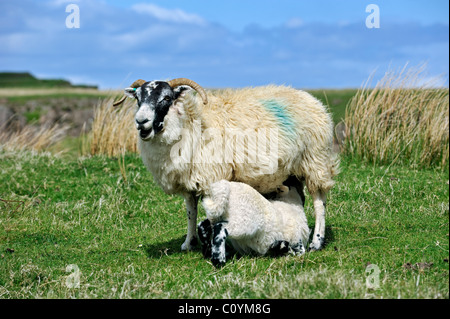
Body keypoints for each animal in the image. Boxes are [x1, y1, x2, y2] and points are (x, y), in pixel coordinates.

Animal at [114, 77, 340, 252]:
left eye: (167, 98)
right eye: (138, 99)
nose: (141, 121)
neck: (192, 123)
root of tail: (313, 100)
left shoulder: (212, 177)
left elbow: (213, 215)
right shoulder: (189, 180)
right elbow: (190, 212)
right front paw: (189, 243)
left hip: (315, 161)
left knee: (319, 202)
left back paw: (316, 242)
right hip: (292, 170)